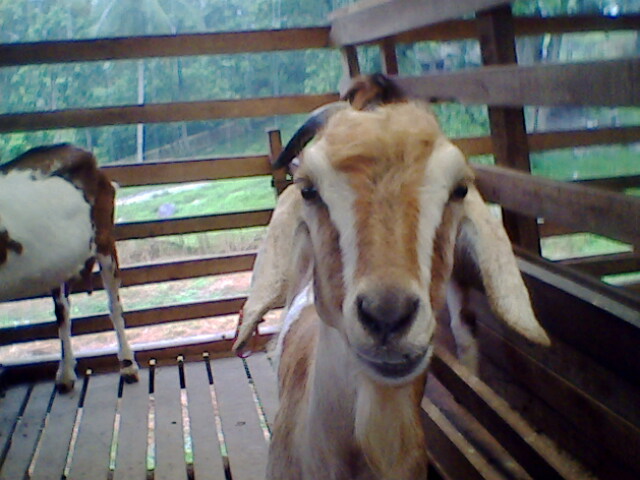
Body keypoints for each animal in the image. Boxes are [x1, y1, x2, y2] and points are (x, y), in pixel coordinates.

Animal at [0, 144, 139, 392]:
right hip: (56, 265)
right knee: (62, 310)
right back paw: (65, 374)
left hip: (104, 238)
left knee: (113, 303)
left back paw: (128, 365)